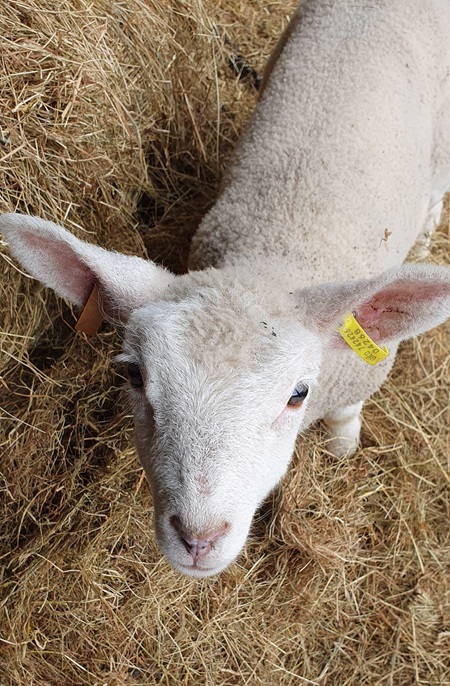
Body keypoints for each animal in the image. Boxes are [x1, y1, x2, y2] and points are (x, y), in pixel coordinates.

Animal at [1, 0, 450, 578]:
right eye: (133, 376)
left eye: (298, 394)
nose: (198, 538)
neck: (270, 258)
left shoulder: (361, 369)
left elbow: (347, 415)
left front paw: (342, 444)